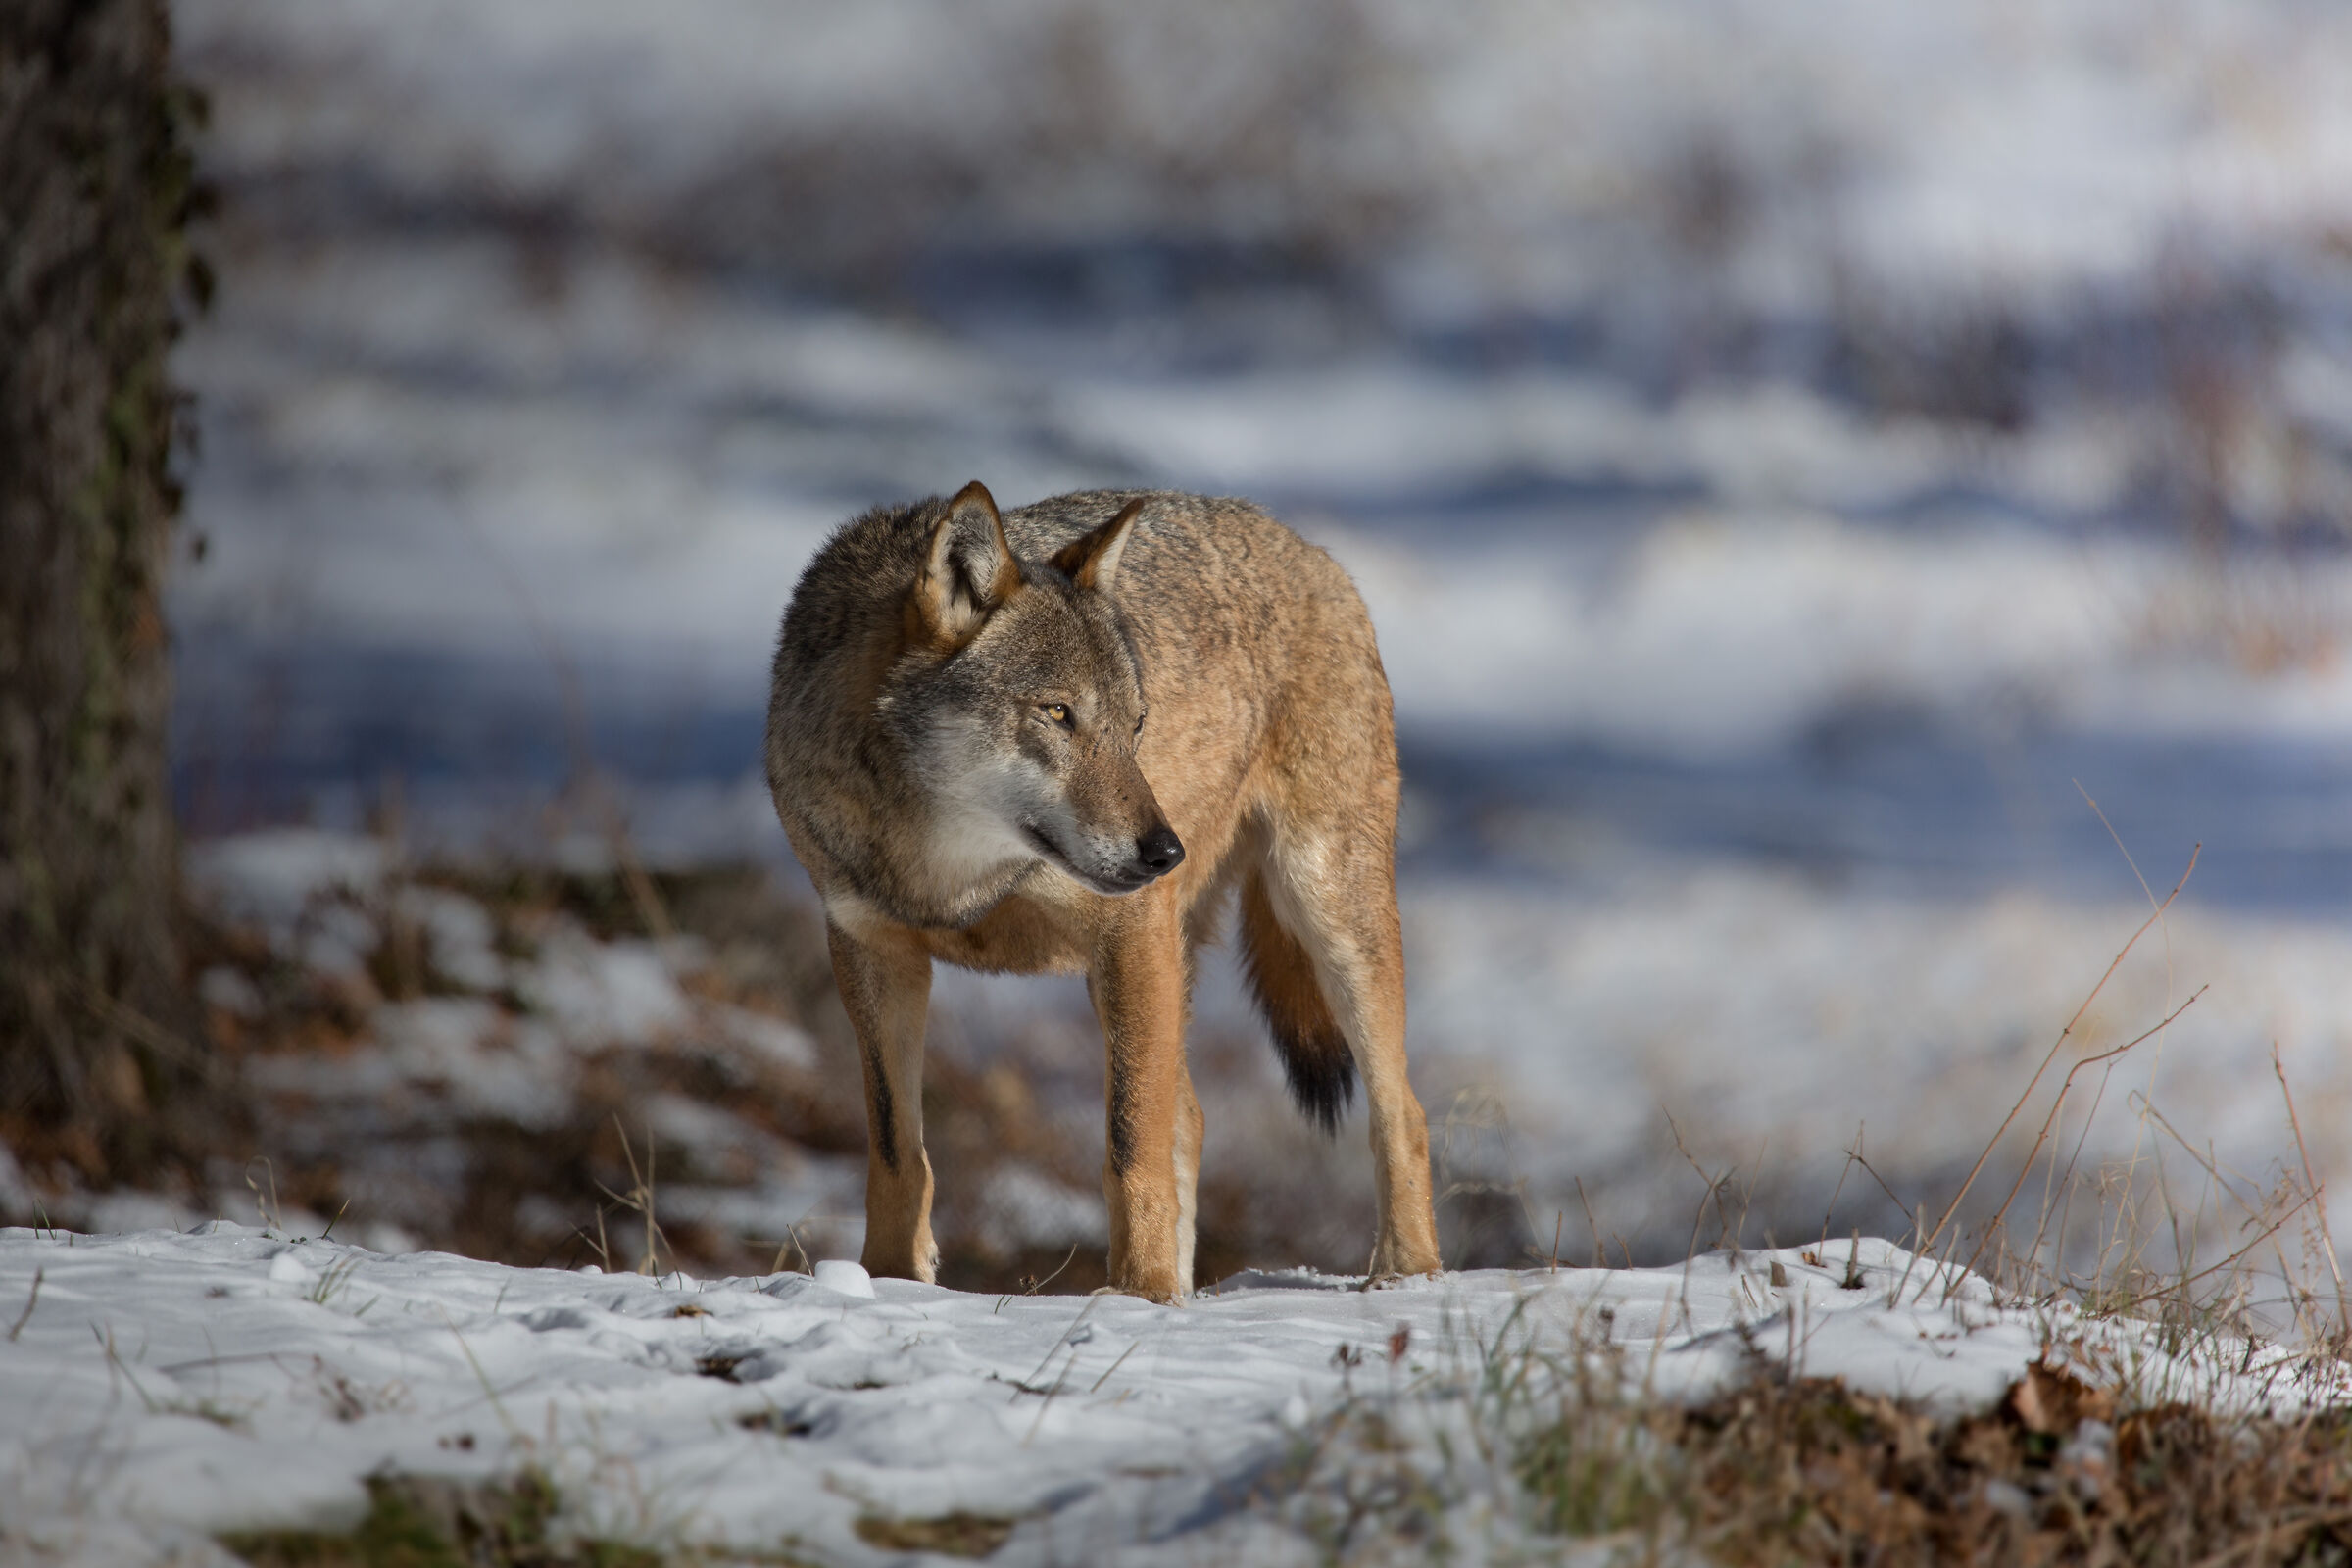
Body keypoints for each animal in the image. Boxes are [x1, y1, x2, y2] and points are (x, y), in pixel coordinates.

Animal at [765, 482, 1442, 1302]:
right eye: (1059, 713)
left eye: (1135, 725)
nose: (1166, 852)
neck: (950, 874)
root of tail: (1311, 551)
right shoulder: (871, 950)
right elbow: (899, 1152)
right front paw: (893, 1282)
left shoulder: (1130, 932)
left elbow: (1129, 1149)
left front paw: (1141, 1296)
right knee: (1193, 1119)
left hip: (1321, 919)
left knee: (1400, 1111)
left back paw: (1404, 1275)